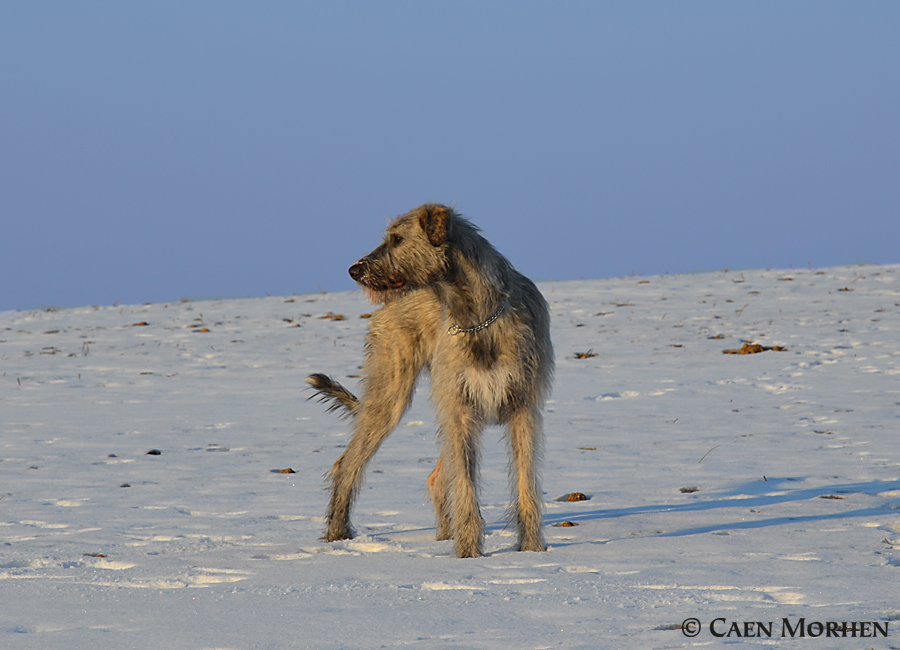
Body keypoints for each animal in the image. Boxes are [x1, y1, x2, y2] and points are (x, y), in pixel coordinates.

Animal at [310, 204, 552, 556]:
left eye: (397, 239)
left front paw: (531, 550)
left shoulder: (524, 408)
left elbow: (526, 485)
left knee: (437, 477)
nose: (354, 270)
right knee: (348, 464)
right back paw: (337, 534)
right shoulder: (460, 410)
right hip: (390, 394)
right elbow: (465, 486)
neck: (480, 319)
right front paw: (469, 554)